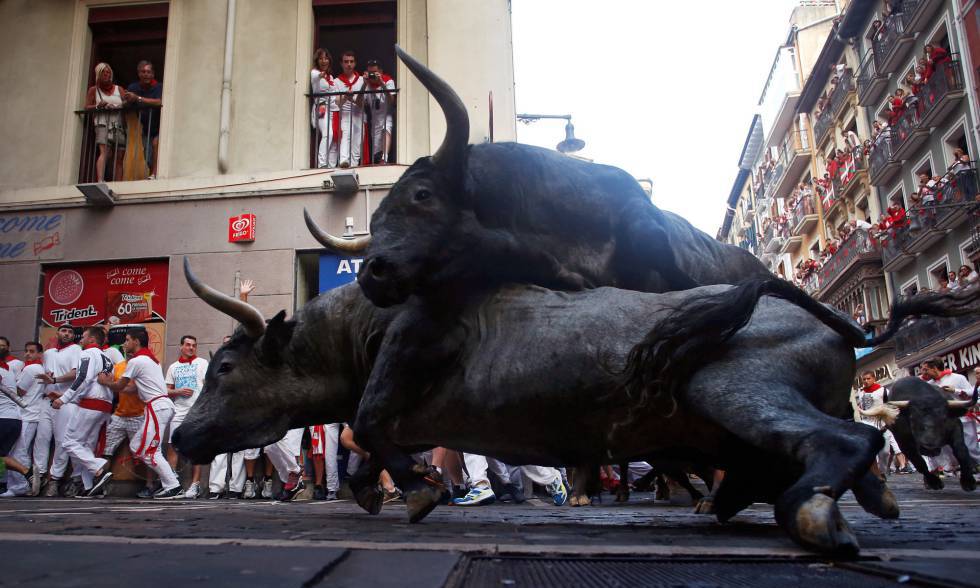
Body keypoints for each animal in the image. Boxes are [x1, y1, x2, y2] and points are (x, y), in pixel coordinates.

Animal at [172, 258, 980, 556]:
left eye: (224, 366)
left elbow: (370, 427)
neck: (361, 326)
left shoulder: (396, 384)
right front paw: (381, 488)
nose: (182, 437)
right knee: (815, 454)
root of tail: (838, 323)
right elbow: (367, 441)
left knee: (842, 443)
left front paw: (419, 491)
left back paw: (818, 514)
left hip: (732, 393)